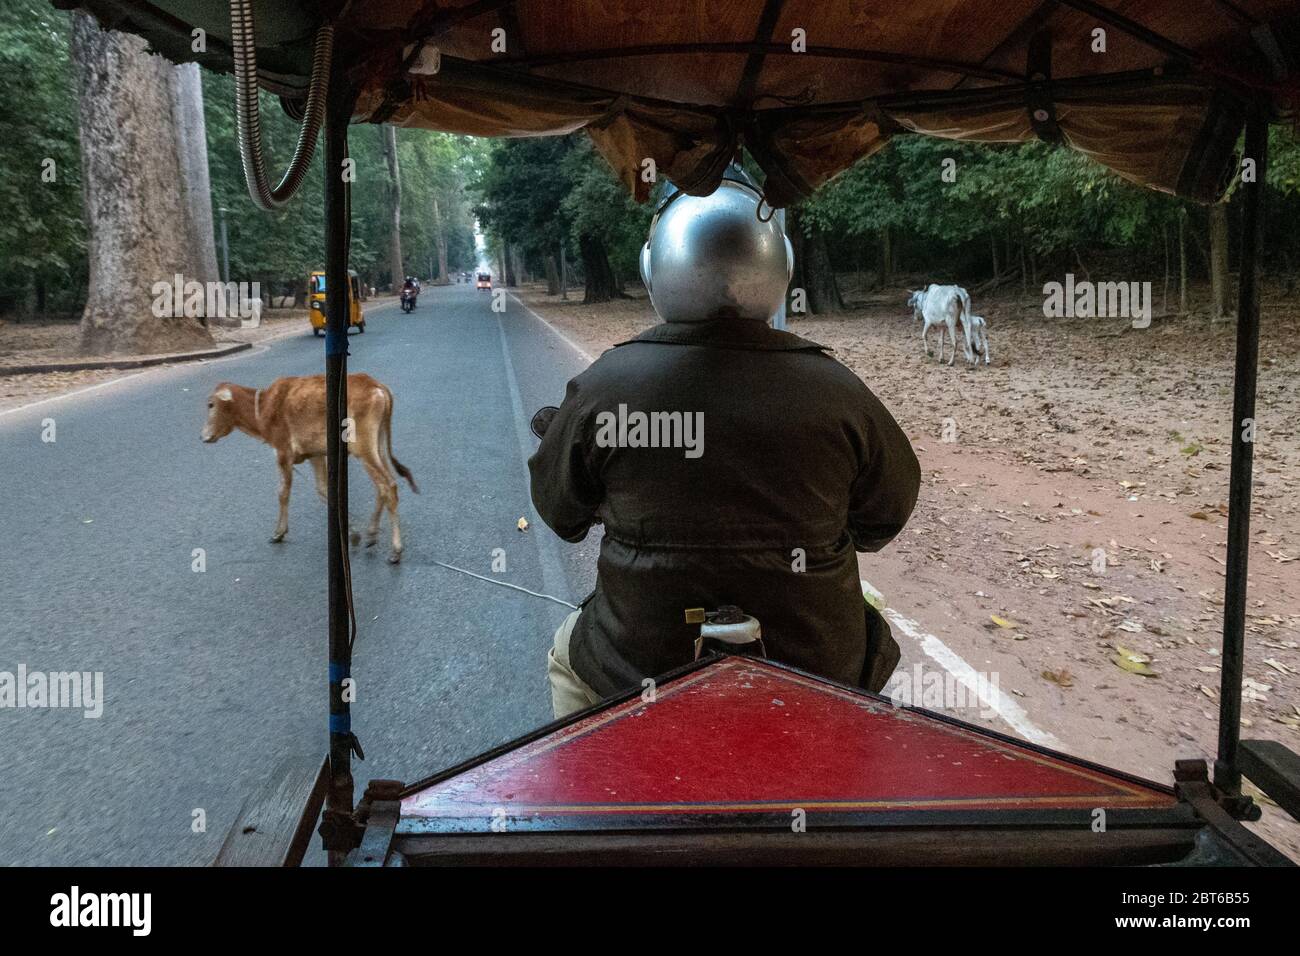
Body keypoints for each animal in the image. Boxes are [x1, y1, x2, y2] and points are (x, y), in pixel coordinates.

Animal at [200, 374, 418, 564]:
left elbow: (283, 492)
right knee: (383, 486)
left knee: (388, 486)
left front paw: (278, 532)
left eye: (211, 404)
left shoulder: (283, 453)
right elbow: (323, 491)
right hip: (378, 445)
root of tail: (377, 387)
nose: (203, 436)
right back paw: (371, 534)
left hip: (363, 448)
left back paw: (395, 551)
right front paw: (353, 534)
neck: (262, 408)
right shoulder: (316, 455)